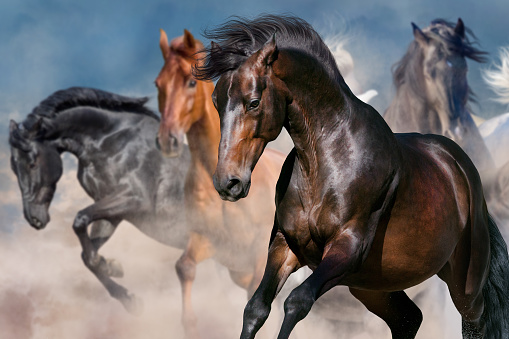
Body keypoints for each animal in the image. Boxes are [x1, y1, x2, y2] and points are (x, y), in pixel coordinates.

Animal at [7, 88, 190, 316]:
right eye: (14, 168)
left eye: (32, 163)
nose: (34, 219)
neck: (109, 143)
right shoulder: (112, 210)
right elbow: (87, 255)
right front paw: (125, 290)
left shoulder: (135, 198)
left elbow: (79, 220)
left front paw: (110, 267)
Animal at [153, 30, 284, 338]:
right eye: (158, 83)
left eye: (190, 82)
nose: (167, 139)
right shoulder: (207, 240)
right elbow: (185, 267)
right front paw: (190, 325)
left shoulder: (259, 254)